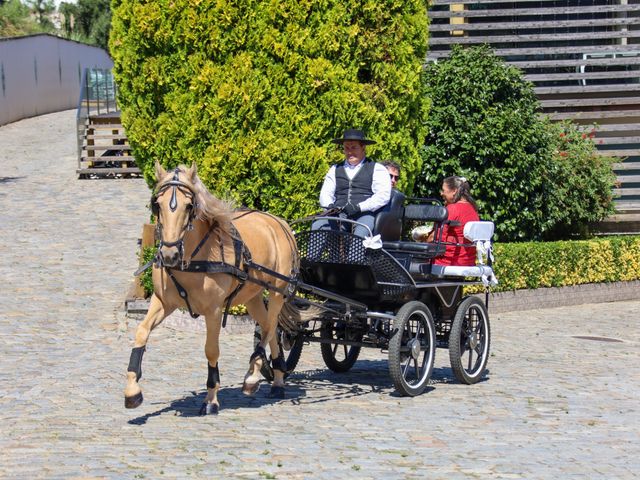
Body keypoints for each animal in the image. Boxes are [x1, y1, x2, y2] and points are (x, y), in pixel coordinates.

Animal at [127, 160, 302, 412]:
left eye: (189, 206)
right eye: (157, 205)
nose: (169, 254)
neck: (191, 260)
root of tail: (279, 222)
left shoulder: (214, 310)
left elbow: (211, 350)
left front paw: (211, 399)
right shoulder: (163, 303)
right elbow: (141, 333)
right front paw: (132, 391)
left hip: (278, 290)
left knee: (270, 328)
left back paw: (252, 376)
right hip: (253, 296)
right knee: (269, 327)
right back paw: (277, 380)